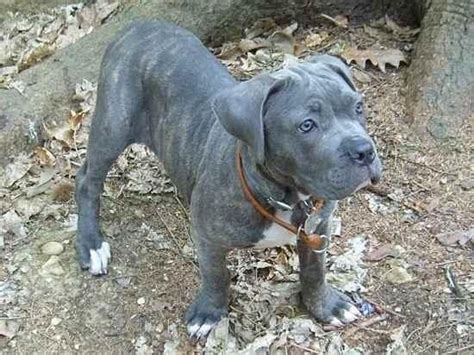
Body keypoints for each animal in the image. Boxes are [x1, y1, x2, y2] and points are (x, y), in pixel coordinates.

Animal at [77, 20, 382, 340]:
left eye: (358, 107)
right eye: (307, 126)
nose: (364, 150)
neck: (285, 196)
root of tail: (138, 24)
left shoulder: (318, 230)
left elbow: (314, 271)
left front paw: (326, 305)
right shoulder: (207, 236)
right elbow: (216, 274)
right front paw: (210, 312)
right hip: (113, 127)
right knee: (87, 180)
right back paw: (91, 244)